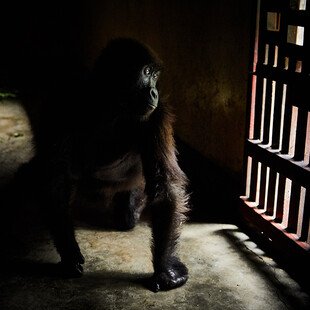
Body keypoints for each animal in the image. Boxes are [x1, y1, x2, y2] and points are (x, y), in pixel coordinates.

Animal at [40, 38, 188, 290]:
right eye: (146, 72)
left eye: (155, 75)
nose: (154, 91)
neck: (112, 107)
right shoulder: (65, 108)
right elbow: (56, 177)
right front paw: (69, 252)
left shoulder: (158, 115)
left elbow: (165, 187)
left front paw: (164, 269)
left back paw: (129, 204)